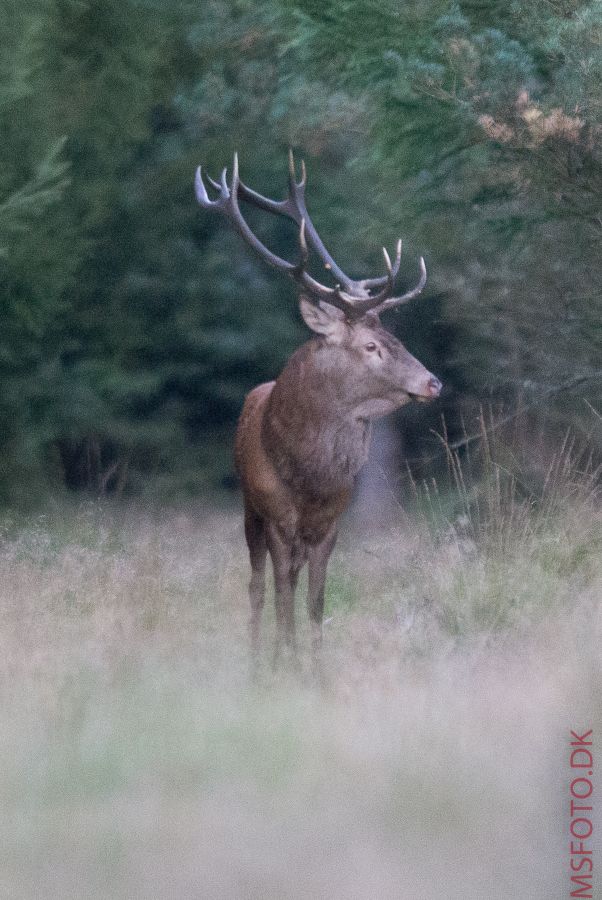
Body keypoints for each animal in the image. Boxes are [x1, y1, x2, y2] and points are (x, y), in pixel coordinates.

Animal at [195, 149, 438, 668]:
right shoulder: (277, 519)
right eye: (371, 346)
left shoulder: (330, 524)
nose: (433, 382)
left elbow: (315, 601)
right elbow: (283, 596)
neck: (310, 478)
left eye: (396, 337)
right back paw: (256, 659)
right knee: (258, 586)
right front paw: (283, 664)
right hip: (249, 510)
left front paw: (316, 668)